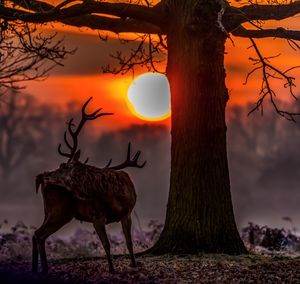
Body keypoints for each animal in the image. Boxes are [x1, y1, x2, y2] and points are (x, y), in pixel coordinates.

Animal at [32, 96, 145, 274]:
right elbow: (106, 244)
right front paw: (112, 269)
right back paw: (43, 269)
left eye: (63, 166)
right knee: (39, 234)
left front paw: (134, 264)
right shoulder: (96, 216)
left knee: (37, 234)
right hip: (59, 211)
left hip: (52, 212)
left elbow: (129, 242)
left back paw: (38, 268)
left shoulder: (126, 213)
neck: (113, 197)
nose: (45, 175)